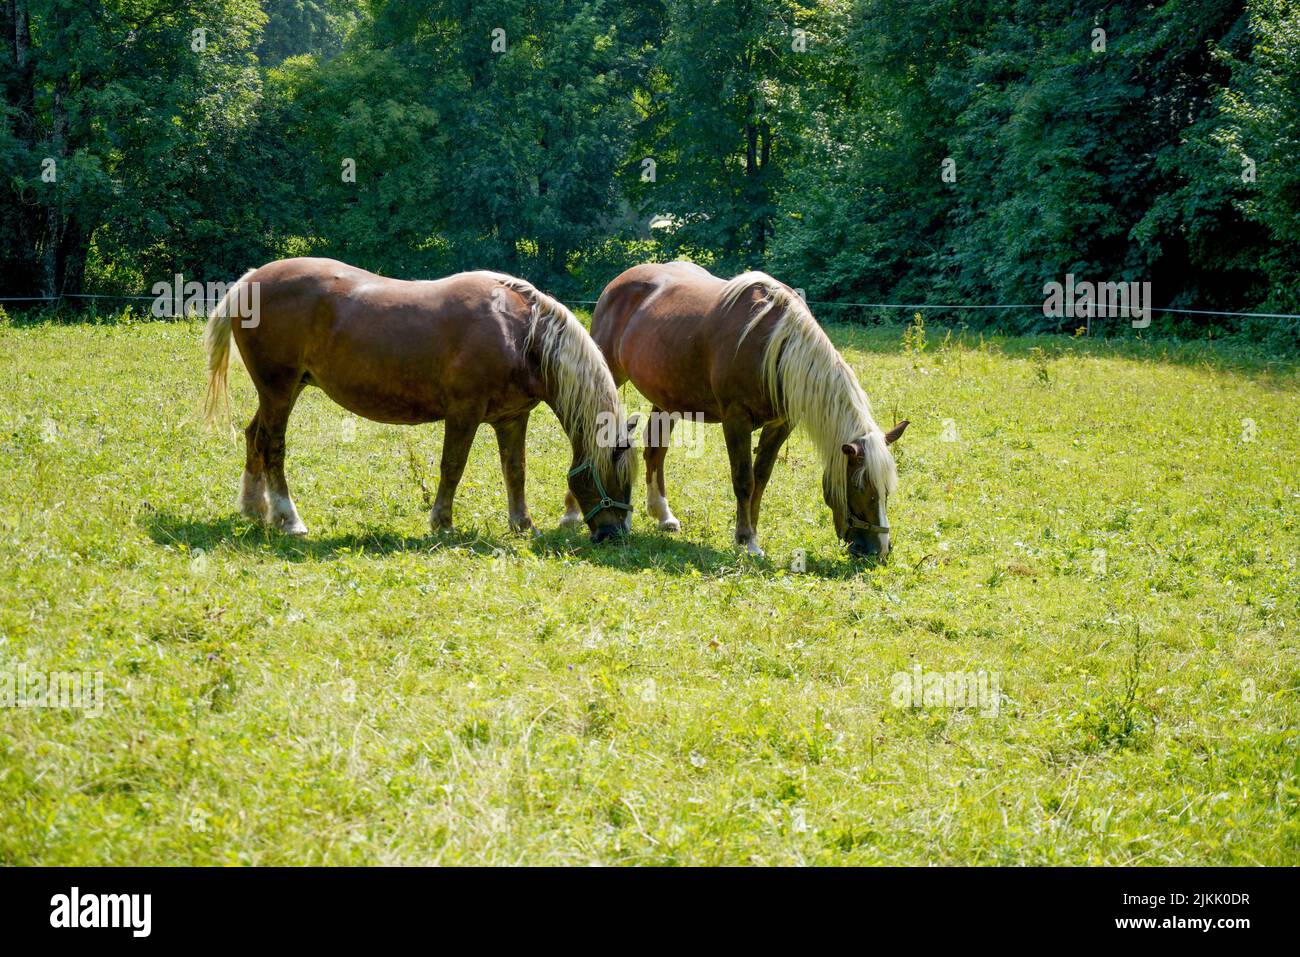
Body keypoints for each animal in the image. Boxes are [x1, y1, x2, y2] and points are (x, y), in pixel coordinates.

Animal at [201, 256, 639, 538]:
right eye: (615, 476)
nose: (615, 534)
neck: (519, 330)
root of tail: (249, 281)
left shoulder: (512, 418)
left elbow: (515, 470)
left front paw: (522, 525)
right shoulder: (463, 414)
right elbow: (453, 467)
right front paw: (442, 523)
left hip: (281, 391)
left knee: (254, 437)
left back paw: (255, 510)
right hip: (278, 390)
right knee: (273, 446)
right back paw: (288, 518)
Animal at [587, 261, 904, 561]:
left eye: (887, 490)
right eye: (860, 487)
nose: (878, 551)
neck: (773, 348)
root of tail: (618, 283)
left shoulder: (781, 424)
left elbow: (760, 479)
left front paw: (752, 533)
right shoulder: (736, 420)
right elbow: (743, 479)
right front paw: (746, 540)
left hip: (667, 399)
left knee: (655, 452)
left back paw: (663, 516)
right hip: (610, 373)